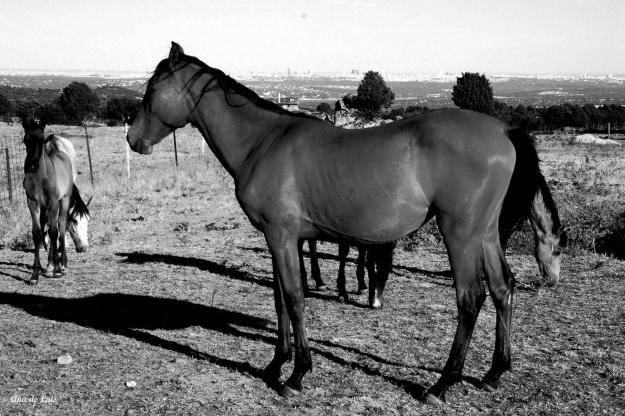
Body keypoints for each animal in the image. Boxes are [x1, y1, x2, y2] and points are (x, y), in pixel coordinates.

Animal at [127, 42, 564, 404]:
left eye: (151, 89)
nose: (133, 139)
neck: (263, 142)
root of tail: (504, 129)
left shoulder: (282, 236)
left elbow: (295, 299)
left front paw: (297, 375)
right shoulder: (280, 239)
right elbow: (280, 299)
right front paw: (275, 365)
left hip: (460, 233)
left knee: (470, 298)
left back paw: (441, 385)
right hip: (486, 233)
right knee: (503, 288)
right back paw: (493, 373)